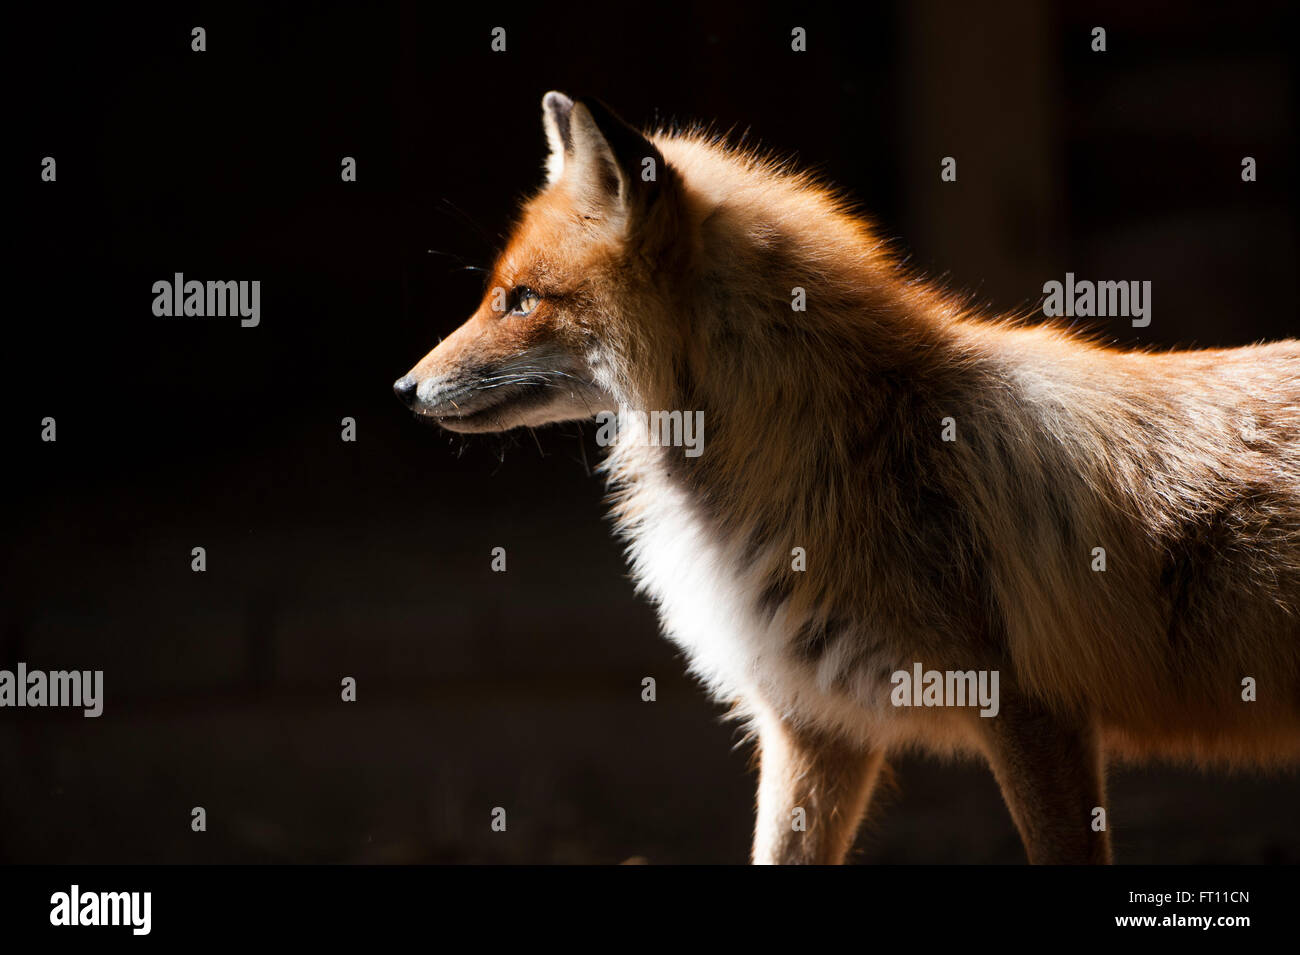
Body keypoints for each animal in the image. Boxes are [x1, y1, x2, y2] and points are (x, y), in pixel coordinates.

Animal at [394, 91, 1300, 864]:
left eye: (520, 300)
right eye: (498, 294)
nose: (402, 388)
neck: (843, 444)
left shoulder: (1032, 710)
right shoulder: (816, 723)